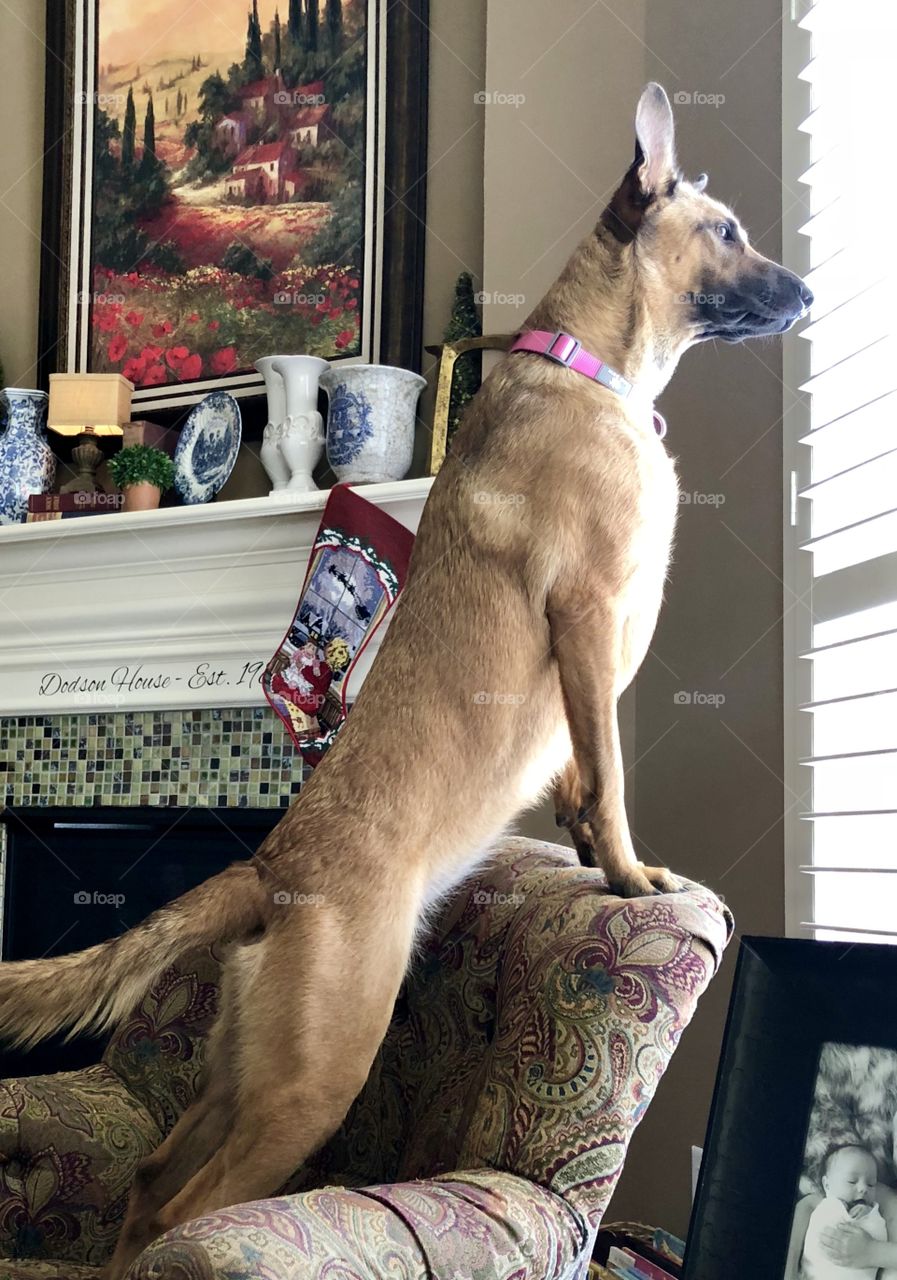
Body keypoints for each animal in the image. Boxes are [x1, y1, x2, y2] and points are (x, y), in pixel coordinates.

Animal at [0, 85, 808, 1274]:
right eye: (729, 232)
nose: (808, 293)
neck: (590, 364)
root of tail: (273, 866)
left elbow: (582, 772)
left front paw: (586, 851)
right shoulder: (588, 620)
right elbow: (610, 771)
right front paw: (628, 874)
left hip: (245, 1072)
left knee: (148, 1184)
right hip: (312, 1078)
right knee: (192, 1205)